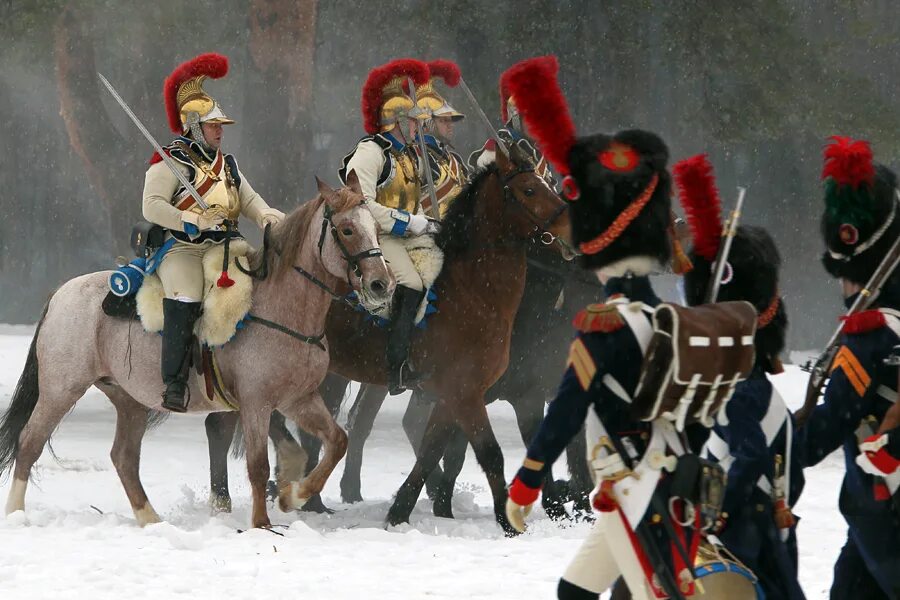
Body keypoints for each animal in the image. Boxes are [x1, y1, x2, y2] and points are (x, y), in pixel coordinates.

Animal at [0, 175, 394, 528]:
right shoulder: (256, 403)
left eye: (376, 227)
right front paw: (262, 522)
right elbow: (258, 465)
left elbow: (335, 442)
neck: (279, 309)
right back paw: (17, 514)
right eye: (346, 229)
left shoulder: (299, 399)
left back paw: (150, 520)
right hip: (61, 390)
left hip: (130, 400)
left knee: (124, 457)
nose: (382, 284)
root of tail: (61, 293)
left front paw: (292, 495)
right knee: (29, 442)